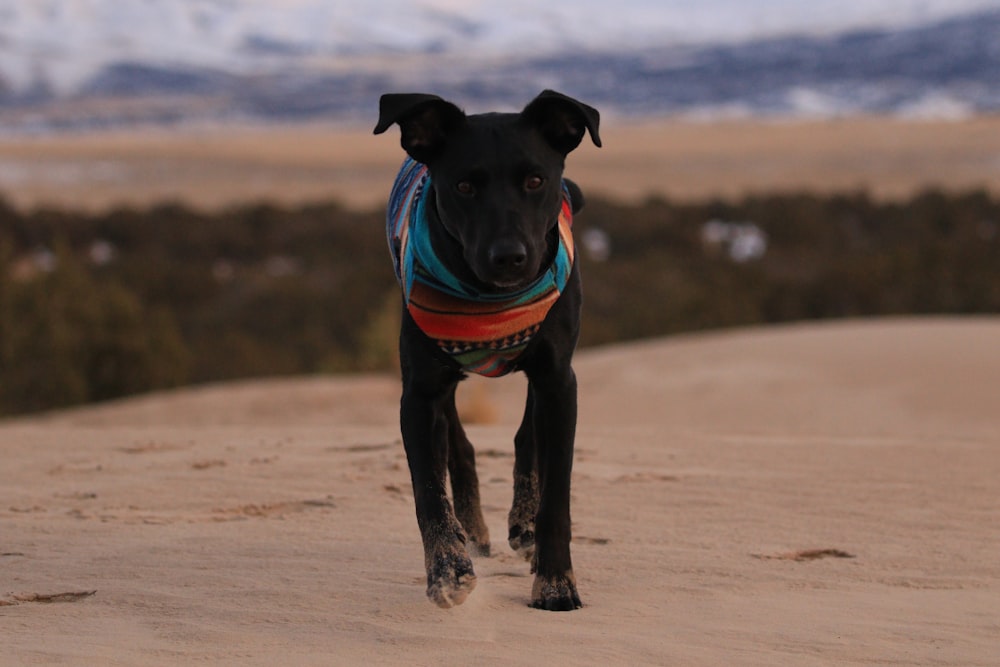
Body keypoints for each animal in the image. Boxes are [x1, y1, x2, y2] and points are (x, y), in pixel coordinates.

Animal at [374, 91, 592, 612]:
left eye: (536, 180)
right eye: (464, 186)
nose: (509, 257)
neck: (489, 302)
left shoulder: (559, 380)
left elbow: (556, 492)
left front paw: (556, 582)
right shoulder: (419, 394)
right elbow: (428, 490)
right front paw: (448, 570)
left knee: (526, 439)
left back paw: (523, 525)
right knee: (460, 447)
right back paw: (471, 531)